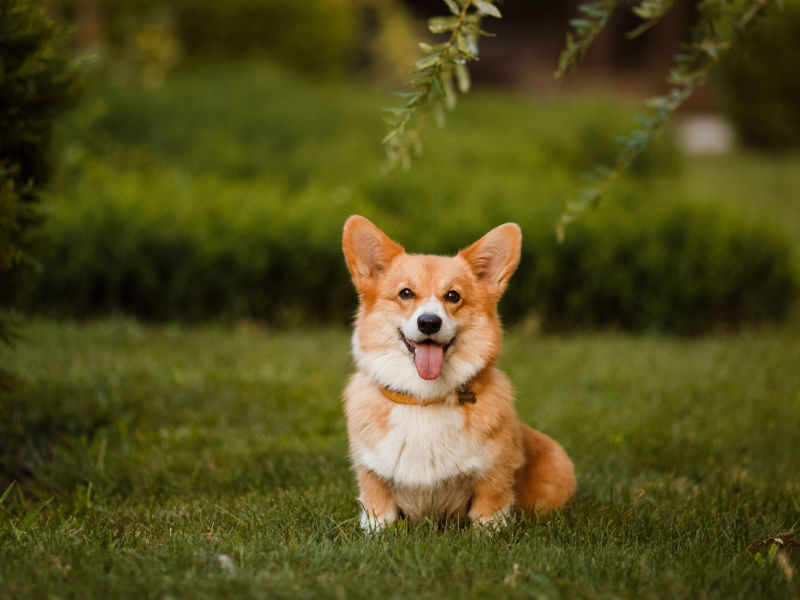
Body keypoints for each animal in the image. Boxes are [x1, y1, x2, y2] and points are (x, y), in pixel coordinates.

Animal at [340, 216, 576, 528]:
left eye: (453, 296)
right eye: (406, 293)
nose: (429, 322)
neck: (424, 398)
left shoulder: (494, 480)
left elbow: (488, 517)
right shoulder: (372, 477)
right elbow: (378, 516)